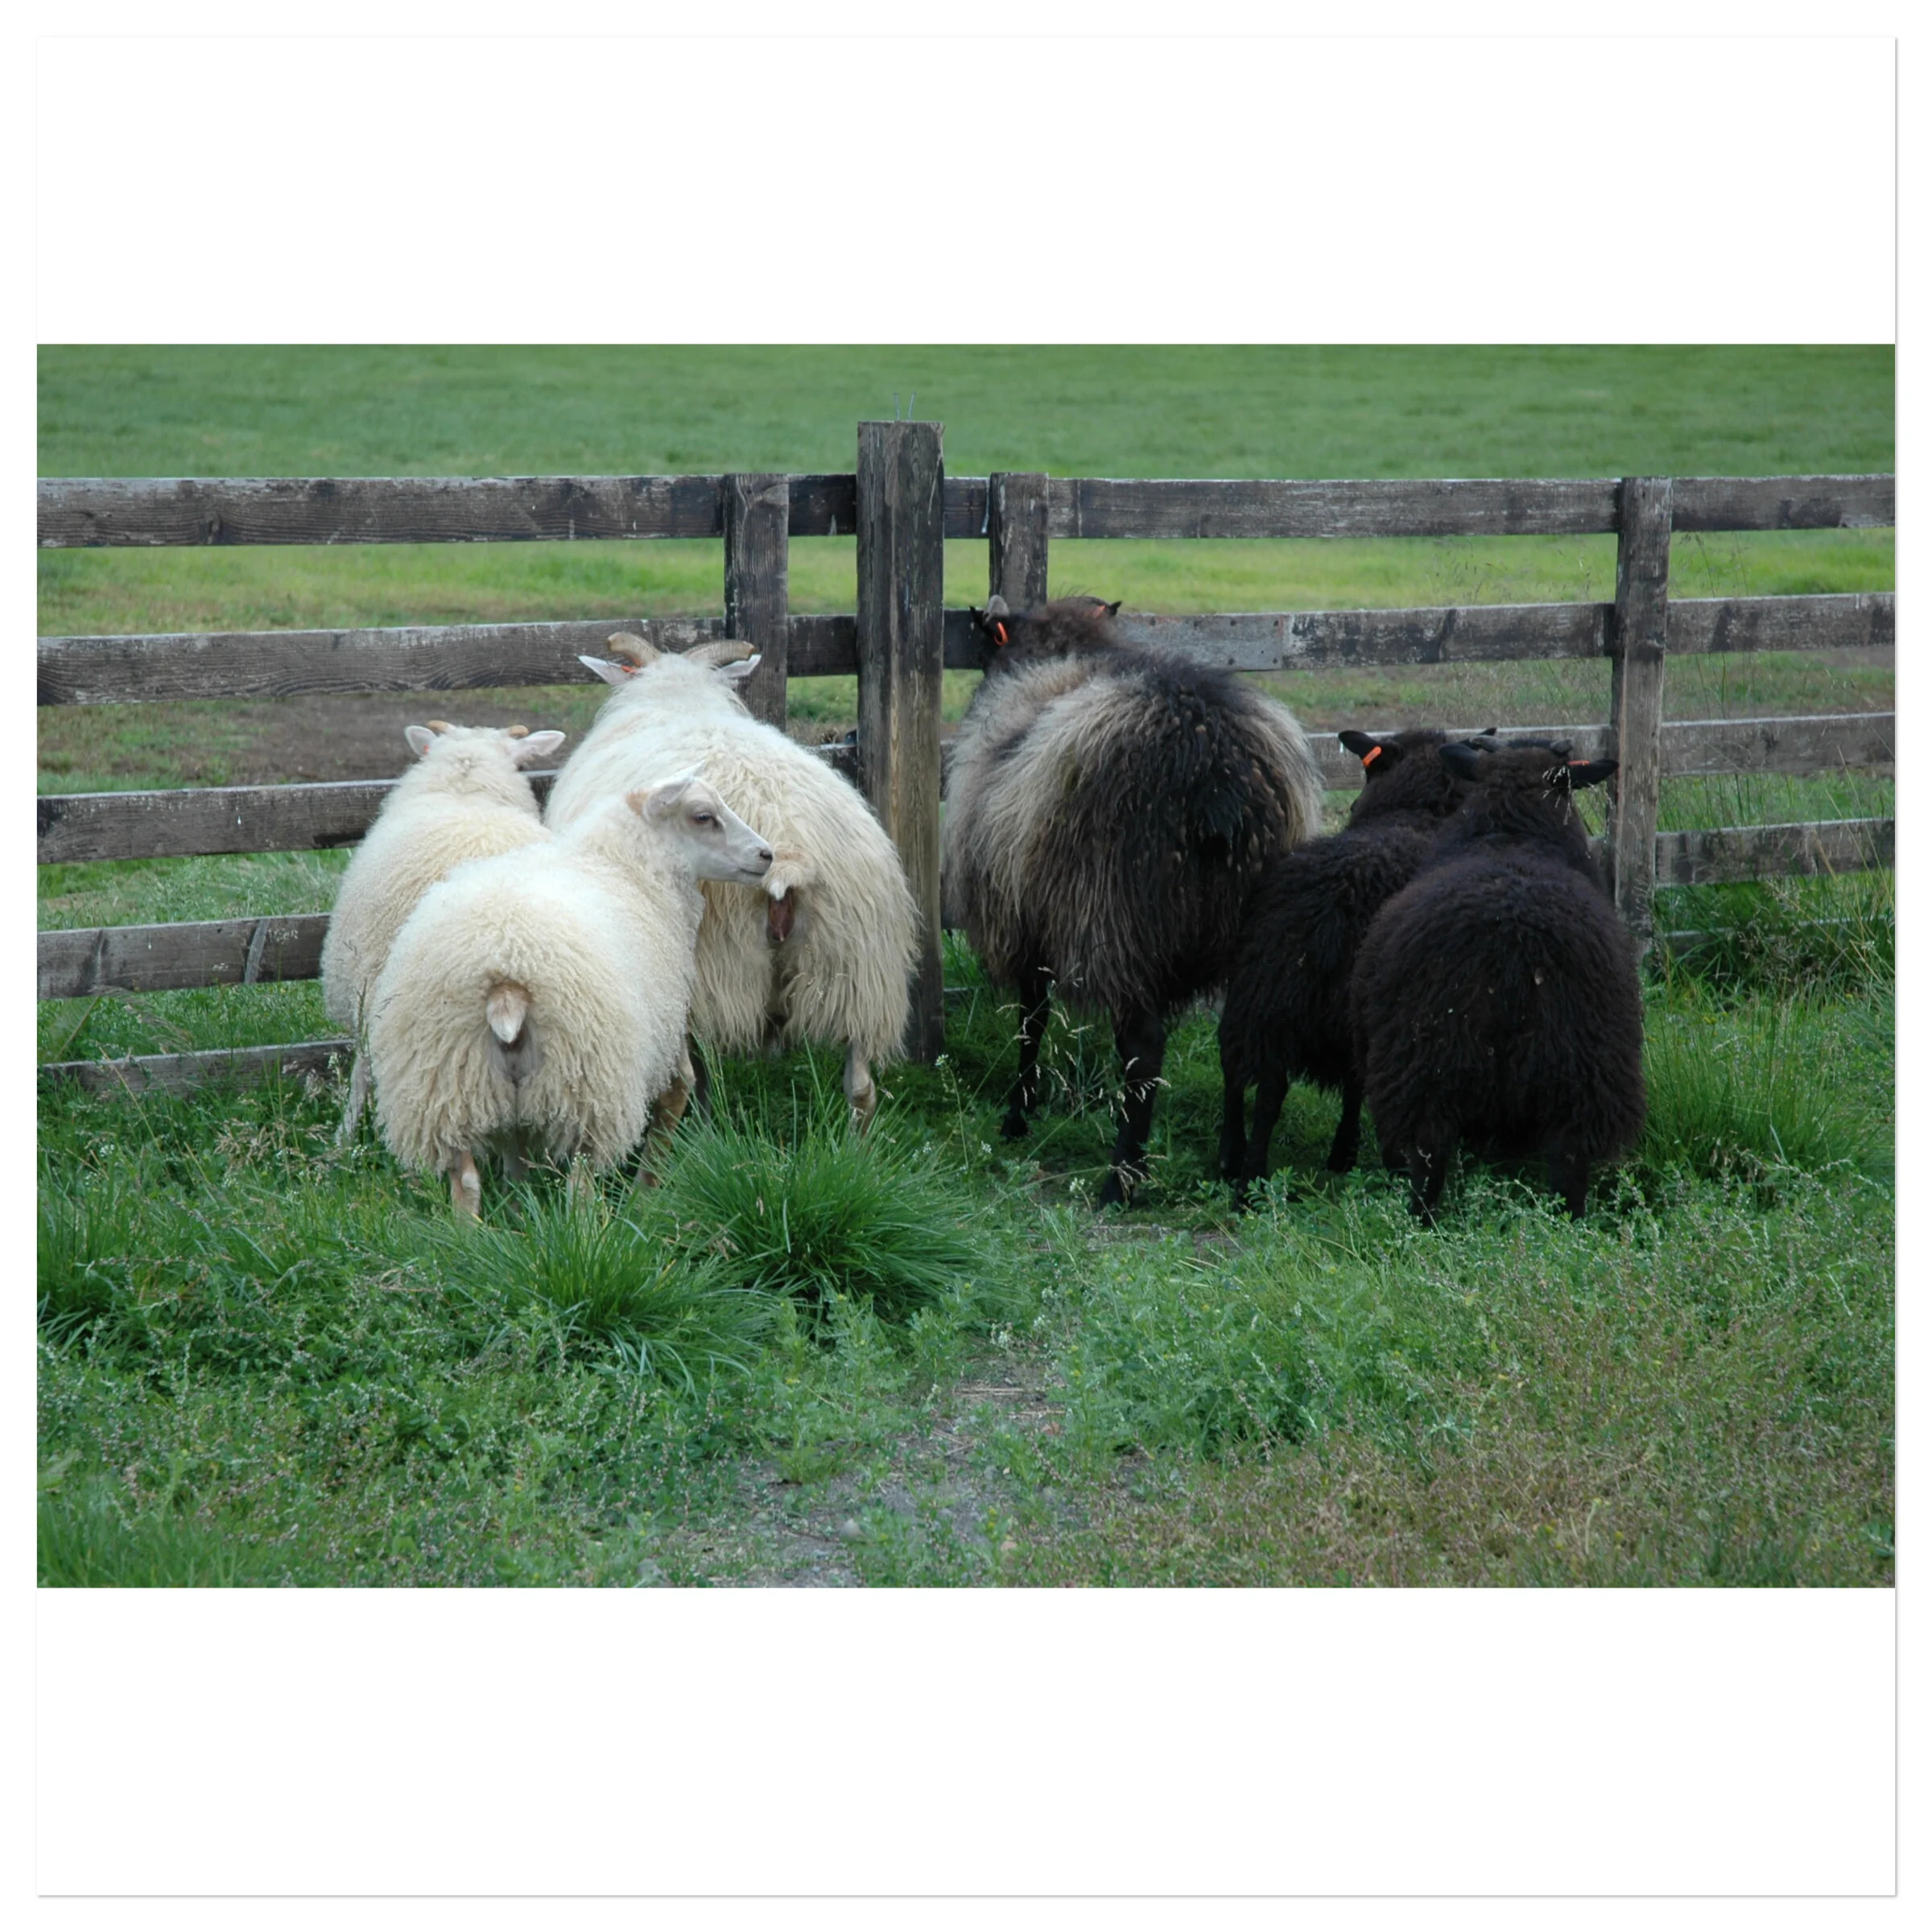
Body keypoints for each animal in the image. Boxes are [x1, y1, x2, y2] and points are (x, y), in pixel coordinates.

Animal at [365, 772, 774, 1216]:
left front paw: (518, 1206)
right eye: (703, 816)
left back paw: (474, 1231)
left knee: (467, 1178)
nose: (767, 855)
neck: (626, 866)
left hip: (447, 1084)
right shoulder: (665, 1038)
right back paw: (591, 1229)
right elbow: (675, 1097)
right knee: (580, 1185)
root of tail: (505, 975)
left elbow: (516, 1149)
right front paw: (645, 1195)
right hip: (586, 1083)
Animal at [543, 634, 918, 1129]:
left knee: (680, 1081)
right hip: (859, 968)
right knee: (860, 1086)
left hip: (699, 974)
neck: (677, 698)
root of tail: (788, 855)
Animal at [943, 594, 1325, 1206]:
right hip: (1261, 932)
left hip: (1119, 920)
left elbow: (1032, 1020)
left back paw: (1122, 1177)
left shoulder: (1025, 922)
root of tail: (1217, 780)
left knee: (1144, 1051)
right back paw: (1238, 1167)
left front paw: (1018, 1113)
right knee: (1244, 1043)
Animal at [1216, 726, 1494, 1200]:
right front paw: (1346, 1153)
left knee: (1249, 1081)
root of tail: (1331, 903)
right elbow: (1355, 1089)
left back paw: (1235, 1166)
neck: (1412, 811)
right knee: (1307, 1086)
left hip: (1258, 996)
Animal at [1348, 740, 1644, 1222]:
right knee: (1568, 1160)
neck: (1513, 839)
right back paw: (1567, 1223)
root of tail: (1513, 944)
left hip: (1427, 1058)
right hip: (1584, 1068)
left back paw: (1421, 1220)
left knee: (1427, 1153)